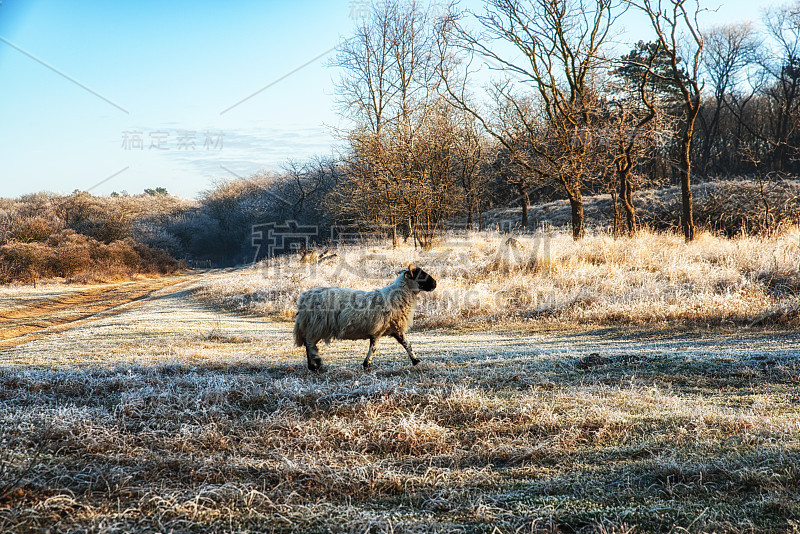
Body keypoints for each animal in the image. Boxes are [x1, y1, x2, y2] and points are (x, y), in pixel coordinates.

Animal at [294, 264, 438, 372]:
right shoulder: (380, 329)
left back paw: (312, 365)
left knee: (307, 343)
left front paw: (416, 361)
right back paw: (316, 363)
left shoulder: (394, 328)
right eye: (420, 275)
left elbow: (407, 345)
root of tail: (304, 297)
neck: (397, 297)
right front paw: (367, 365)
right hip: (316, 325)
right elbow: (374, 347)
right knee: (309, 343)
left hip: (312, 326)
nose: (435, 283)